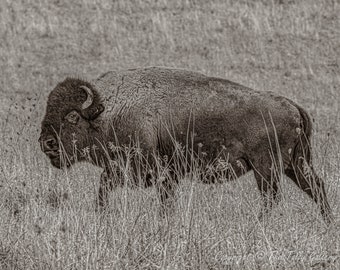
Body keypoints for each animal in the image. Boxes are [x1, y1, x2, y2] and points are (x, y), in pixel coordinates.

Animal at [39, 66, 334, 224]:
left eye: (72, 116)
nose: (46, 143)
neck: (108, 113)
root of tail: (292, 106)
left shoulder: (145, 170)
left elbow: (108, 188)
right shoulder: (161, 175)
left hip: (267, 168)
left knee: (272, 197)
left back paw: (258, 223)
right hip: (294, 164)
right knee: (315, 187)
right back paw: (329, 222)